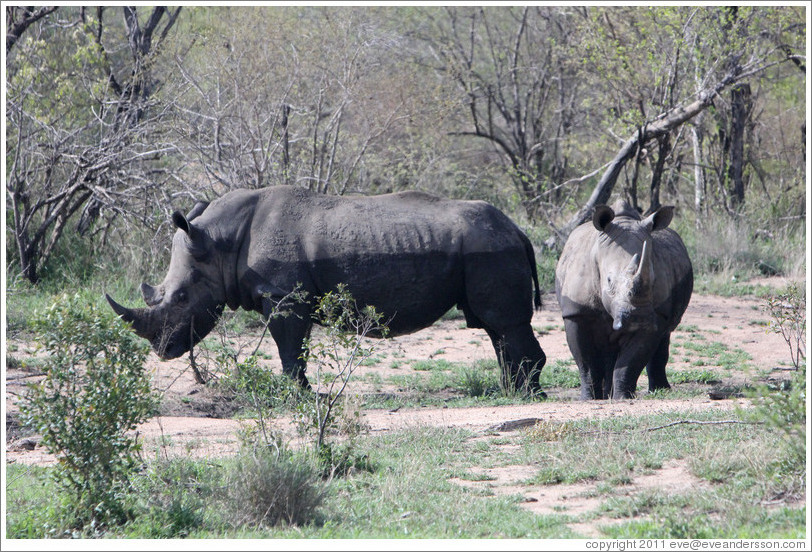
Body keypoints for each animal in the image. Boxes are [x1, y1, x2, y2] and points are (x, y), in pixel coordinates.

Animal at [107, 185, 547, 393]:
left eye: (182, 298)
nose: (161, 351)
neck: (218, 242)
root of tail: (519, 231)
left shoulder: (283, 295)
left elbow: (289, 347)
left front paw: (296, 394)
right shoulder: (284, 294)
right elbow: (293, 347)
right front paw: (301, 392)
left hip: (489, 248)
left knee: (504, 323)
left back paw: (526, 396)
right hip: (485, 246)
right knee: (496, 328)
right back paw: (510, 390)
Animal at [555, 200, 693, 400]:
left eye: (653, 280)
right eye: (609, 281)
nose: (638, 318)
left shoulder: (656, 316)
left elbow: (630, 362)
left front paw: (623, 397)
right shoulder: (577, 312)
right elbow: (586, 363)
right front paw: (589, 399)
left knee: (664, 336)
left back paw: (659, 391)